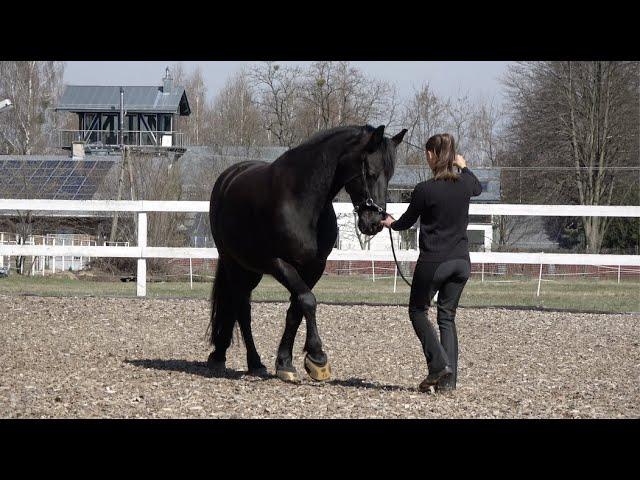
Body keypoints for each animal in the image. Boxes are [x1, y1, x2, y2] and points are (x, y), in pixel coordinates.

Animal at [206, 124, 404, 382]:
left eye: (389, 175)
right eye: (370, 172)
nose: (374, 223)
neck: (301, 200)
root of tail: (229, 177)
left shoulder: (314, 267)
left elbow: (296, 310)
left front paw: (285, 363)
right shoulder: (278, 263)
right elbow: (308, 301)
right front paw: (317, 357)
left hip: (250, 269)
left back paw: (232, 357)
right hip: (233, 263)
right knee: (241, 307)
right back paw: (245, 360)